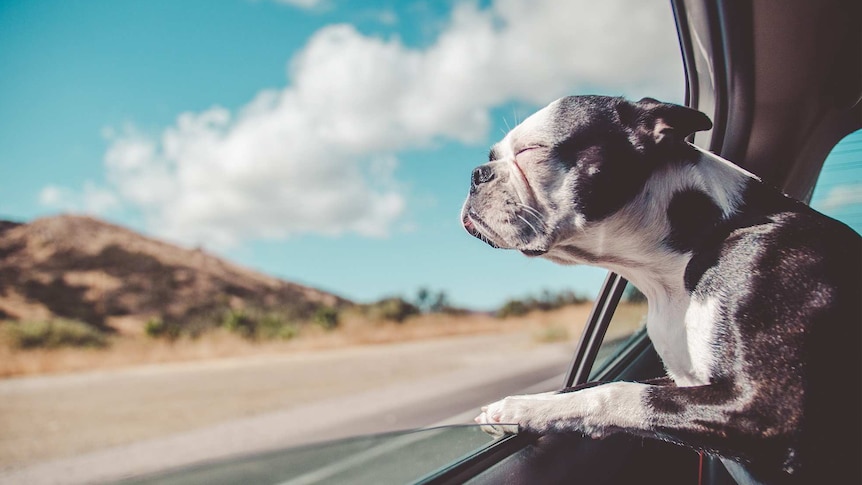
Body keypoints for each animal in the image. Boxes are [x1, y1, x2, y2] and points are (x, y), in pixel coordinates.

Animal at [466, 95, 862, 484]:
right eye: (492, 156)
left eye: (531, 150)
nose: (476, 174)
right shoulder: (681, 381)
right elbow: (592, 385)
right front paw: (522, 405)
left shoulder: (764, 410)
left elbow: (615, 392)